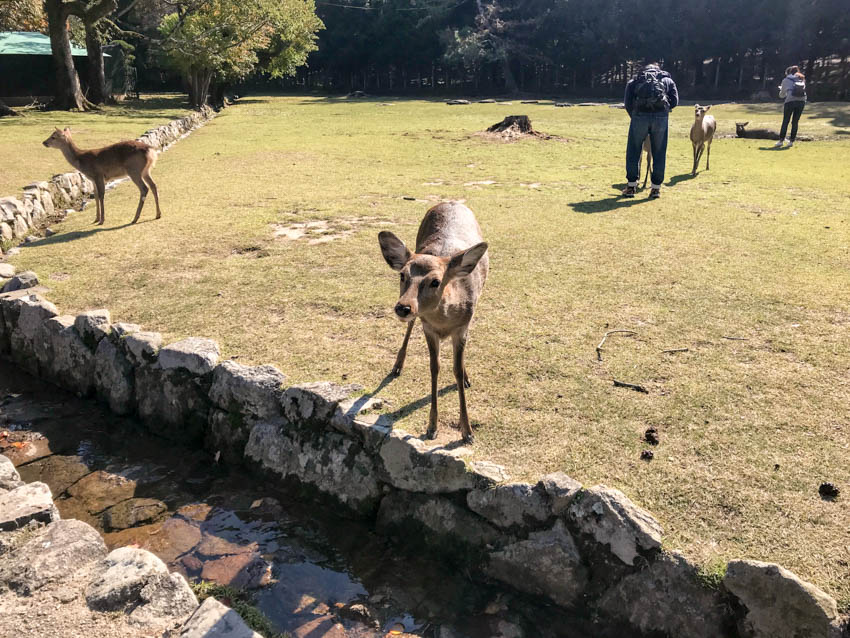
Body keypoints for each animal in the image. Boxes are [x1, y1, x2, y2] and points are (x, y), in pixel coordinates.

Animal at [380, 204, 490, 444]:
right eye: (402, 275)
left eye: (435, 281)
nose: (403, 308)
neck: (445, 322)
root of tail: (452, 201)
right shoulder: (428, 328)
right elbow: (434, 367)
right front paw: (432, 427)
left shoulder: (462, 328)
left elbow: (456, 370)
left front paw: (468, 432)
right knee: (410, 326)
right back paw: (397, 365)